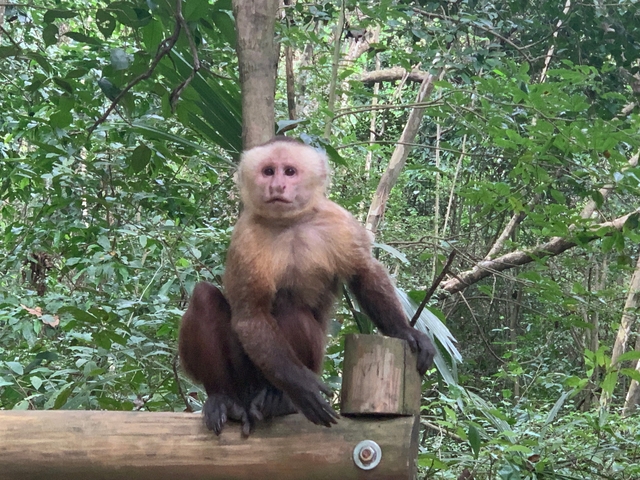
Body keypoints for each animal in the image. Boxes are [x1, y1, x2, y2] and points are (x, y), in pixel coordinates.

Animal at [179, 136, 436, 436]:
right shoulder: (245, 238)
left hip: (310, 364)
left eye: (289, 172)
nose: (277, 186)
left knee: (291, 310)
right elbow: (250, 316)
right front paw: (301, 385)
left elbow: (363, 274)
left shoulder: (339, 221)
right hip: (244, 379)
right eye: (268, 172)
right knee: (204, 298)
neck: (289, 222)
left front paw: (404, 331)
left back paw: (279, 399)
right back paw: (224, 398)